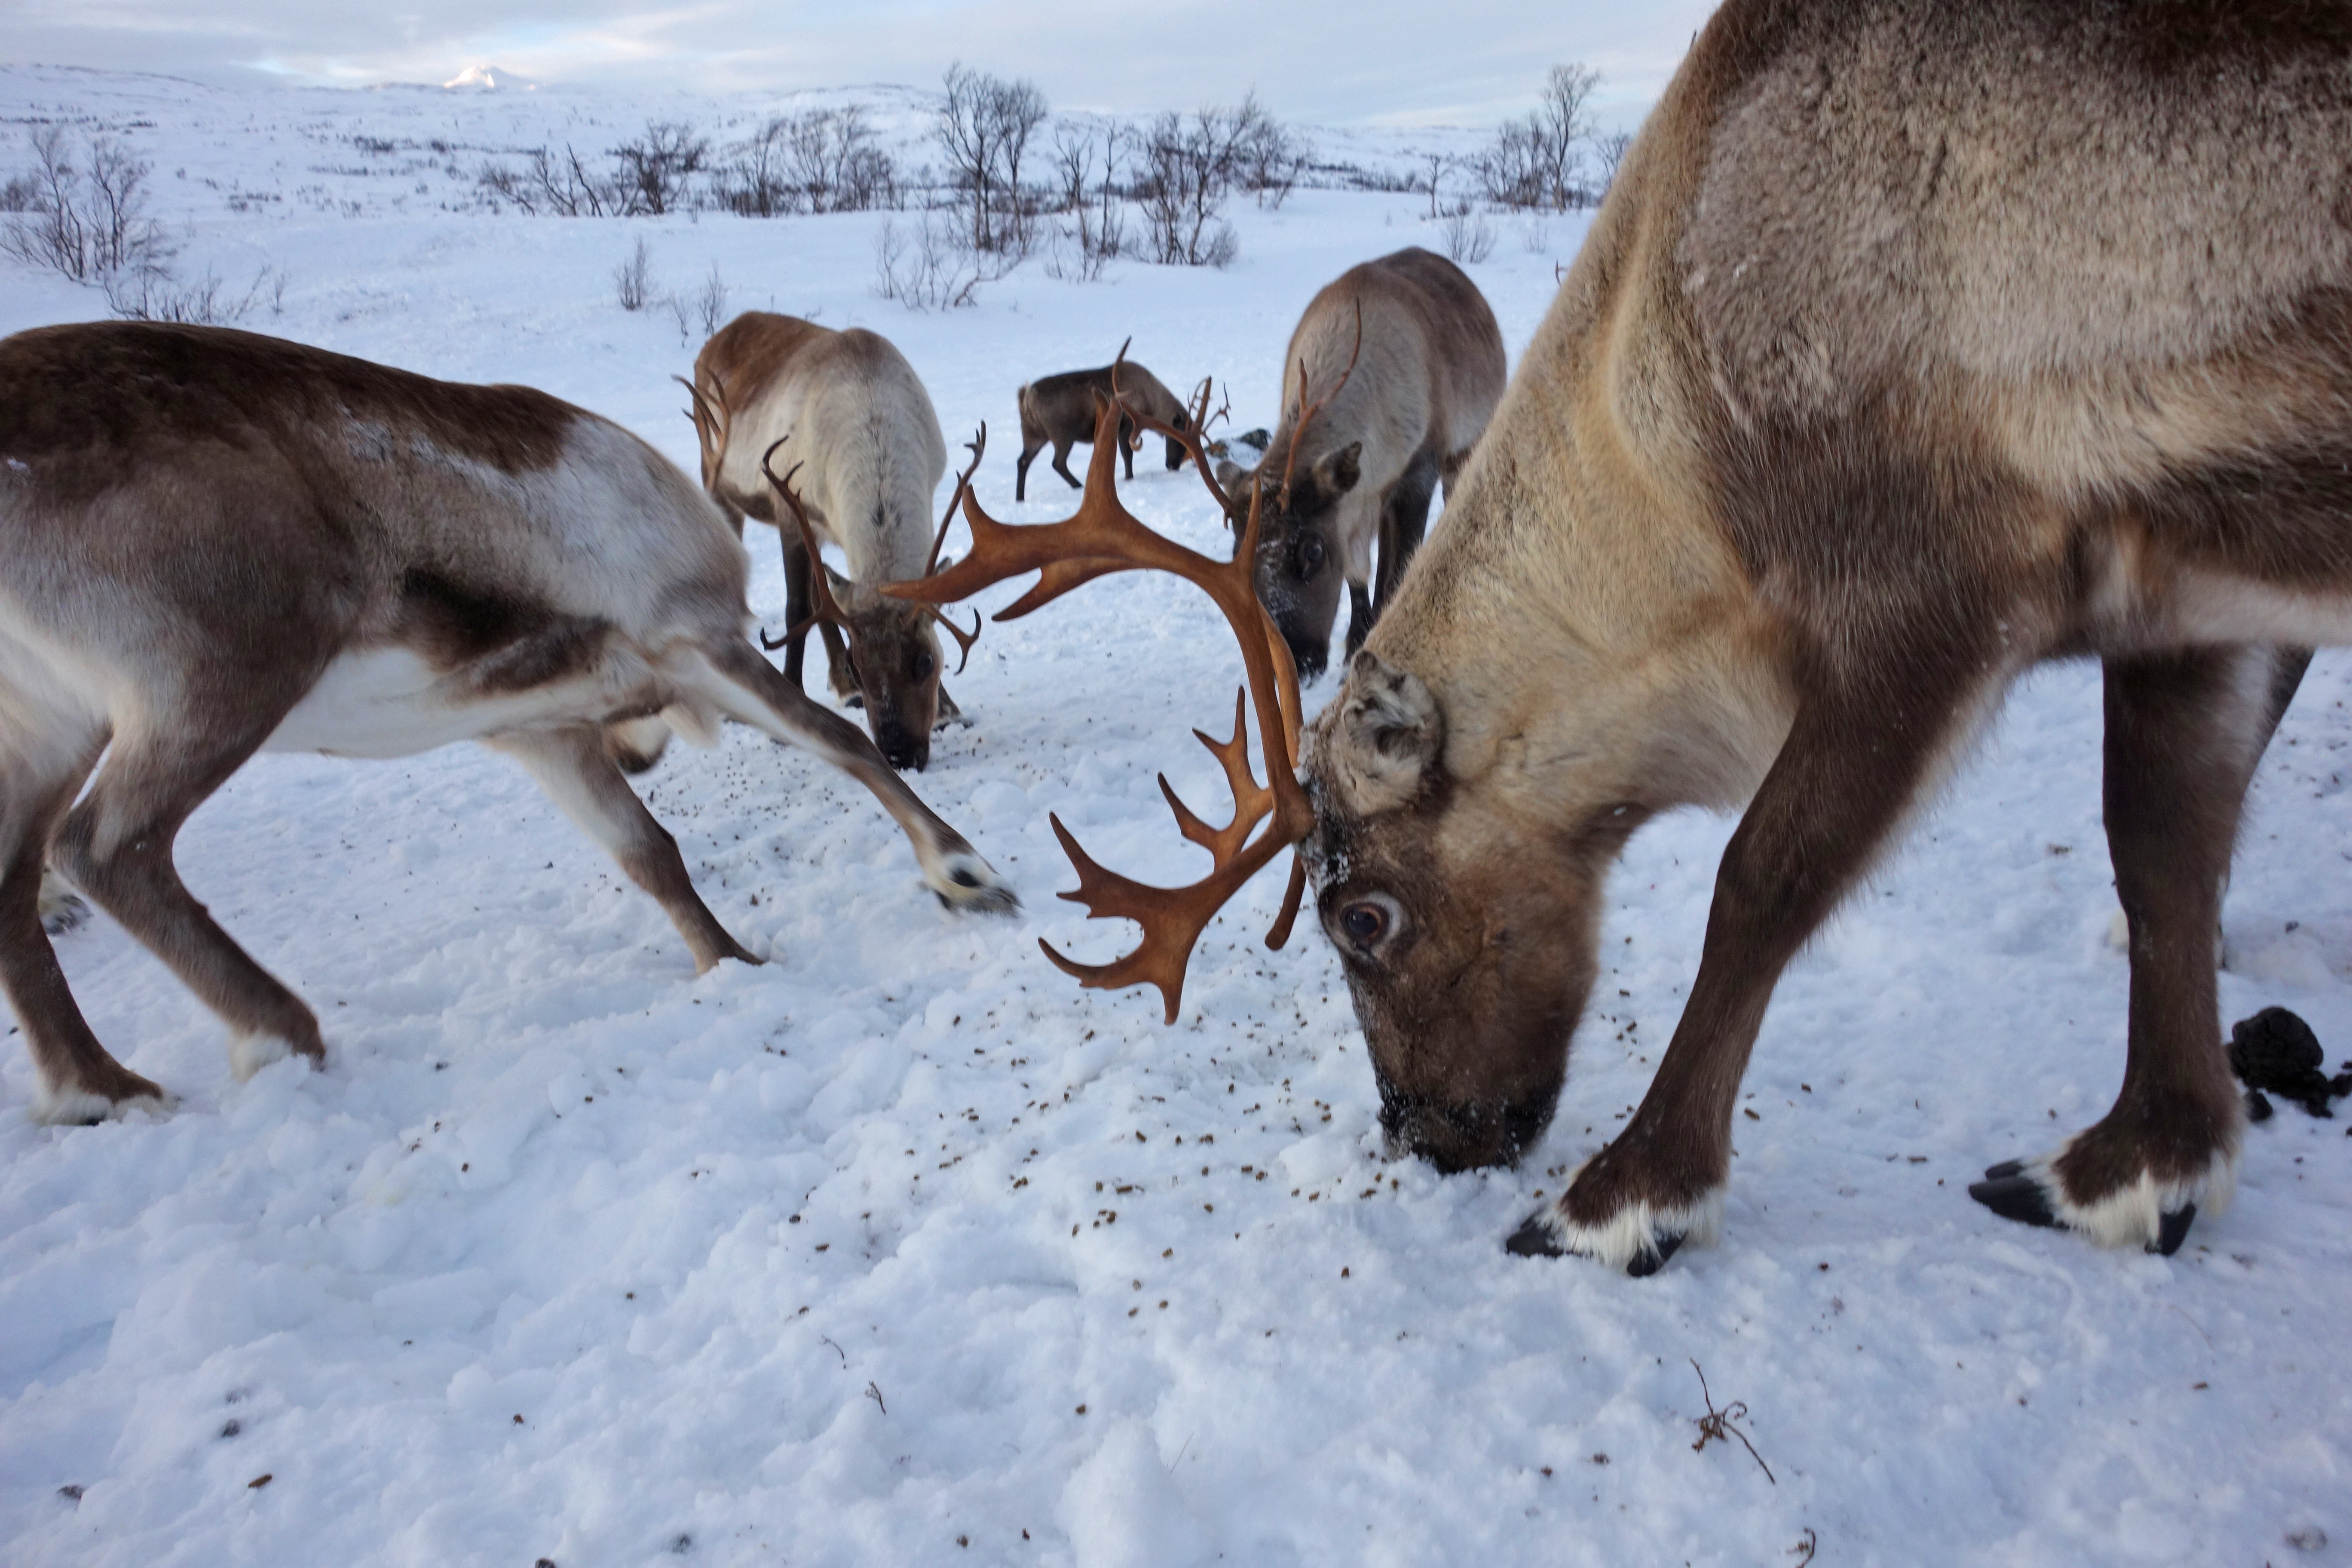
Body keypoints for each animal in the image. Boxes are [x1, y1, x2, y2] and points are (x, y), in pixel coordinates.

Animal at [680, 312, 977, 772]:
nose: (899, 754)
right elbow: (796, 609)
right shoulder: (790, 509)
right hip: (717, 480)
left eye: (926, 662)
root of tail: (720, 336)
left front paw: (949, 711)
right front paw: (792, 710)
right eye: (860, 666)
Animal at [1015, 344, 1192, 501]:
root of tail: (1027, 398)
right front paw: (1129, 478)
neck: (1151, 404)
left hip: (1033, 435)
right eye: (1178, 441)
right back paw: (1079, 486)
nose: (1173, 466)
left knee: (1023, 462)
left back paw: (1020, 498)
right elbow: (1127, 455)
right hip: (1062, 436)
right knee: (1057, 463)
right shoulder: (1128, 426)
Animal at [1211, 247, 1503, 684]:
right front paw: (1353, 648)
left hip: (1464, 450)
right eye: (1237, 553)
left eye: (1313, 551)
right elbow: (1358, 575)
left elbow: (1397, 572)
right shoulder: (1357, 501)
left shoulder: (1417, 475)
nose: (1296, 666)